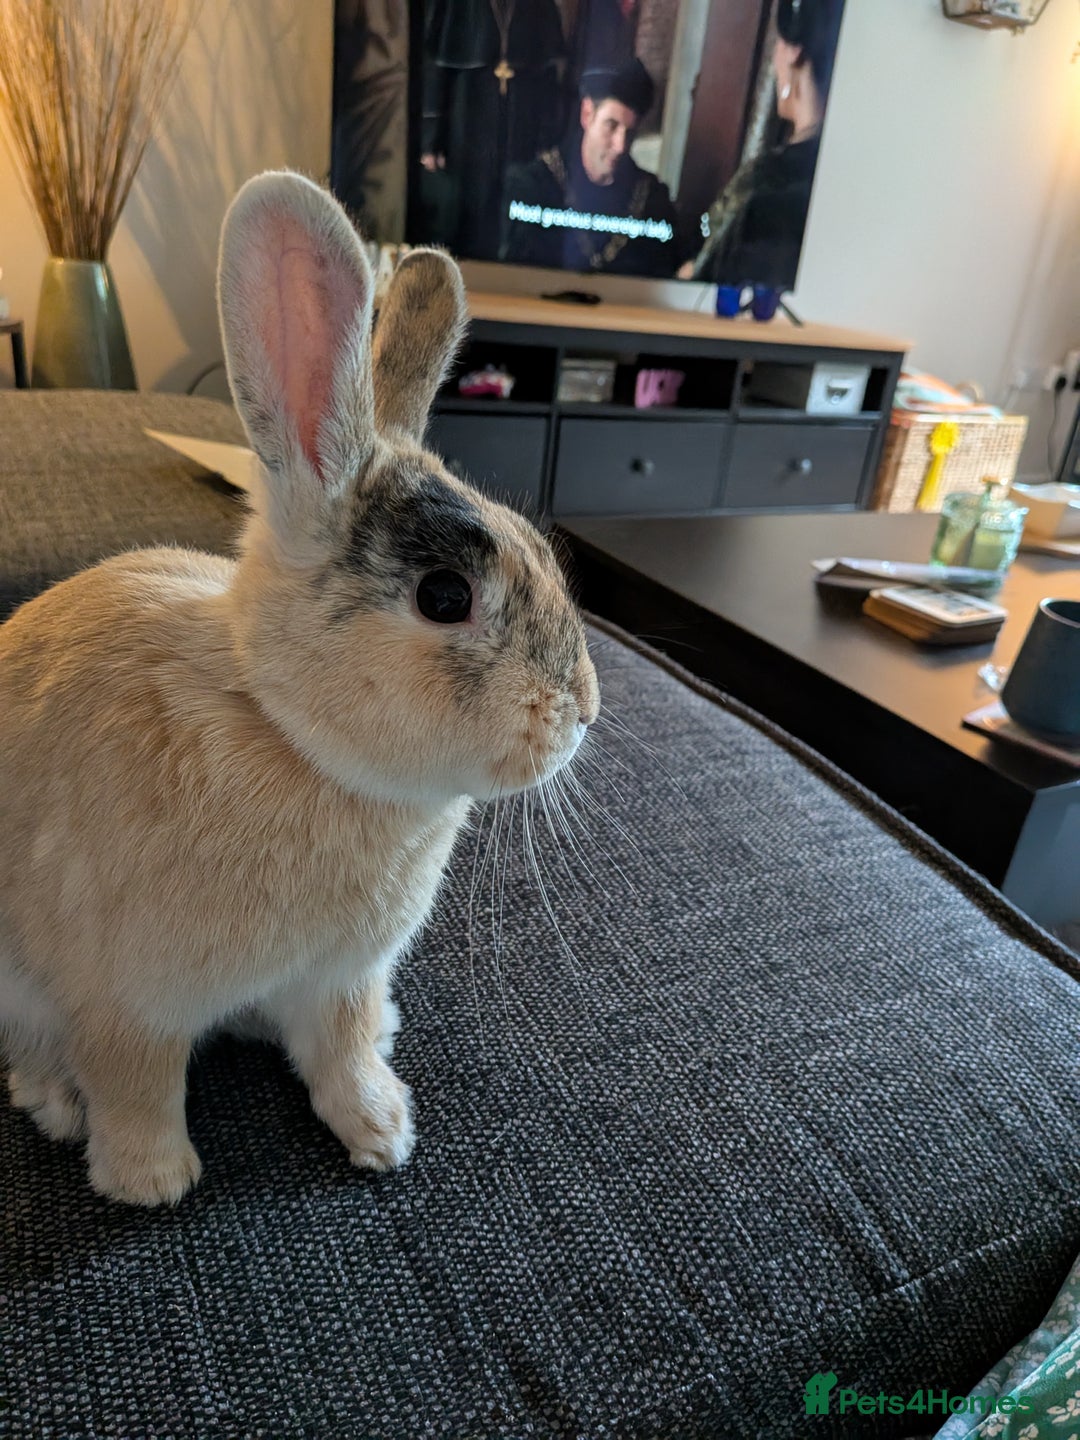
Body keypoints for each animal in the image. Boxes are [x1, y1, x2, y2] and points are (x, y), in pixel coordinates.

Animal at [0, 171, 599, 1207]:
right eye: (445, 596)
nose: (584, 710)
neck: (289, 735)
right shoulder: (127, 1001)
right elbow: (136, 1084)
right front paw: (150, 1182)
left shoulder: (343, 975)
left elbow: (344, 1048)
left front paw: (384, 1131)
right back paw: (58, 1104)